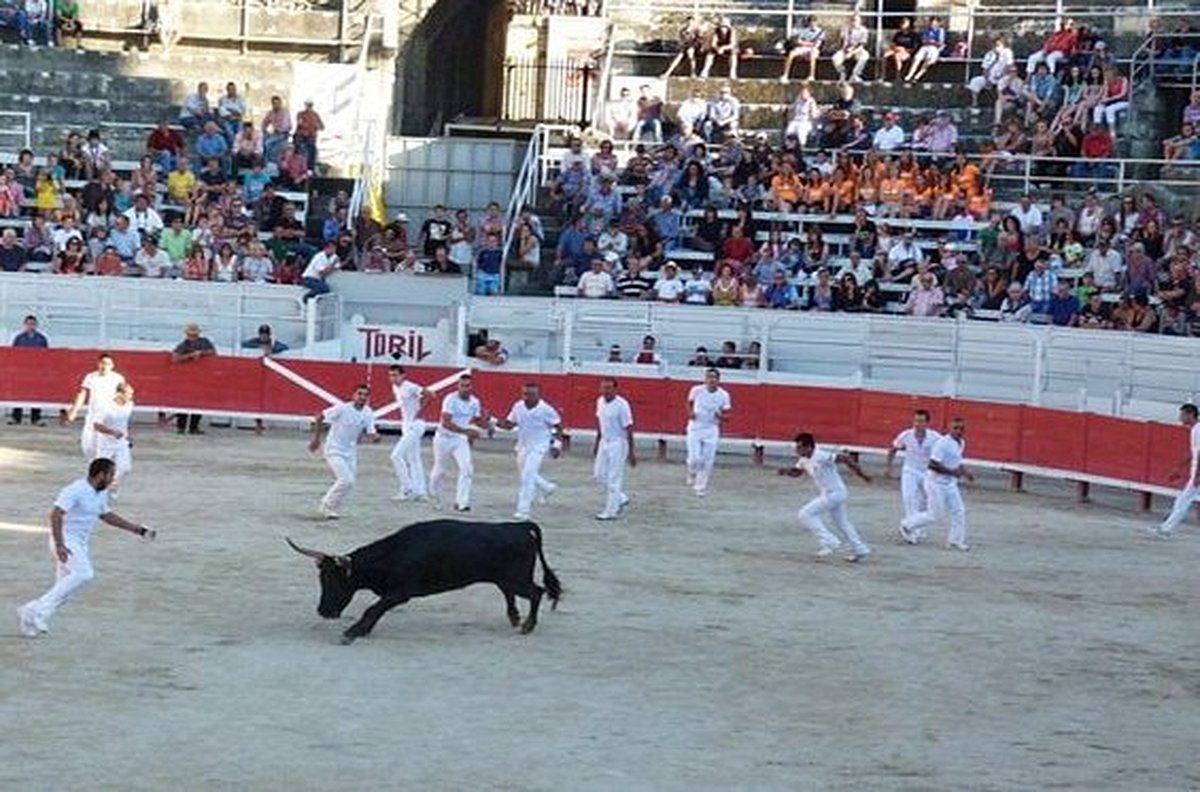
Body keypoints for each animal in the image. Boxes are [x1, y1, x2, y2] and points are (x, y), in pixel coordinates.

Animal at [286, 520, 561, 643]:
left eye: (334, 580)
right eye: (321, 578)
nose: (323, 611)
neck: (396, 553)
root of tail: (519, 526)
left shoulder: (400, 593)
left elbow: (372, 608)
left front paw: (353, 632)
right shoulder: (393, 594)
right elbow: (375, 609)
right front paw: (362, 630)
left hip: (518, 578)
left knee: (536, 592)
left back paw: (527, 626)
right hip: (505, 578)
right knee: (511, 593)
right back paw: (515, 619)